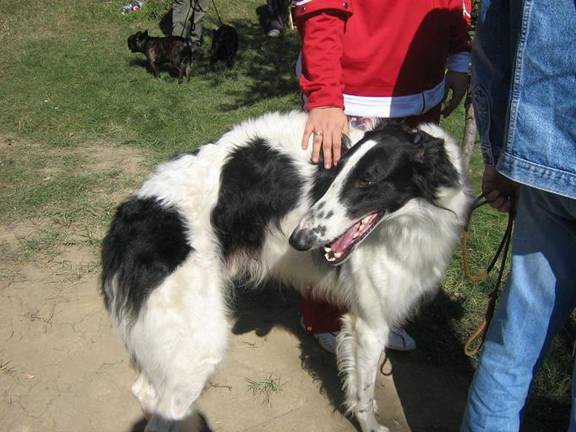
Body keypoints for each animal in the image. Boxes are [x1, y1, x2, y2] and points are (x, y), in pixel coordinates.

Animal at [101, 111, 472, 432]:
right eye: (335, 173)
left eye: (366, 180)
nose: (299, 240)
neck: (416, 217)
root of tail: (136, 210)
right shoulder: (370, 323)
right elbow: (364, 394)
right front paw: (372, 426)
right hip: (198, 343)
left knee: (145, 391)